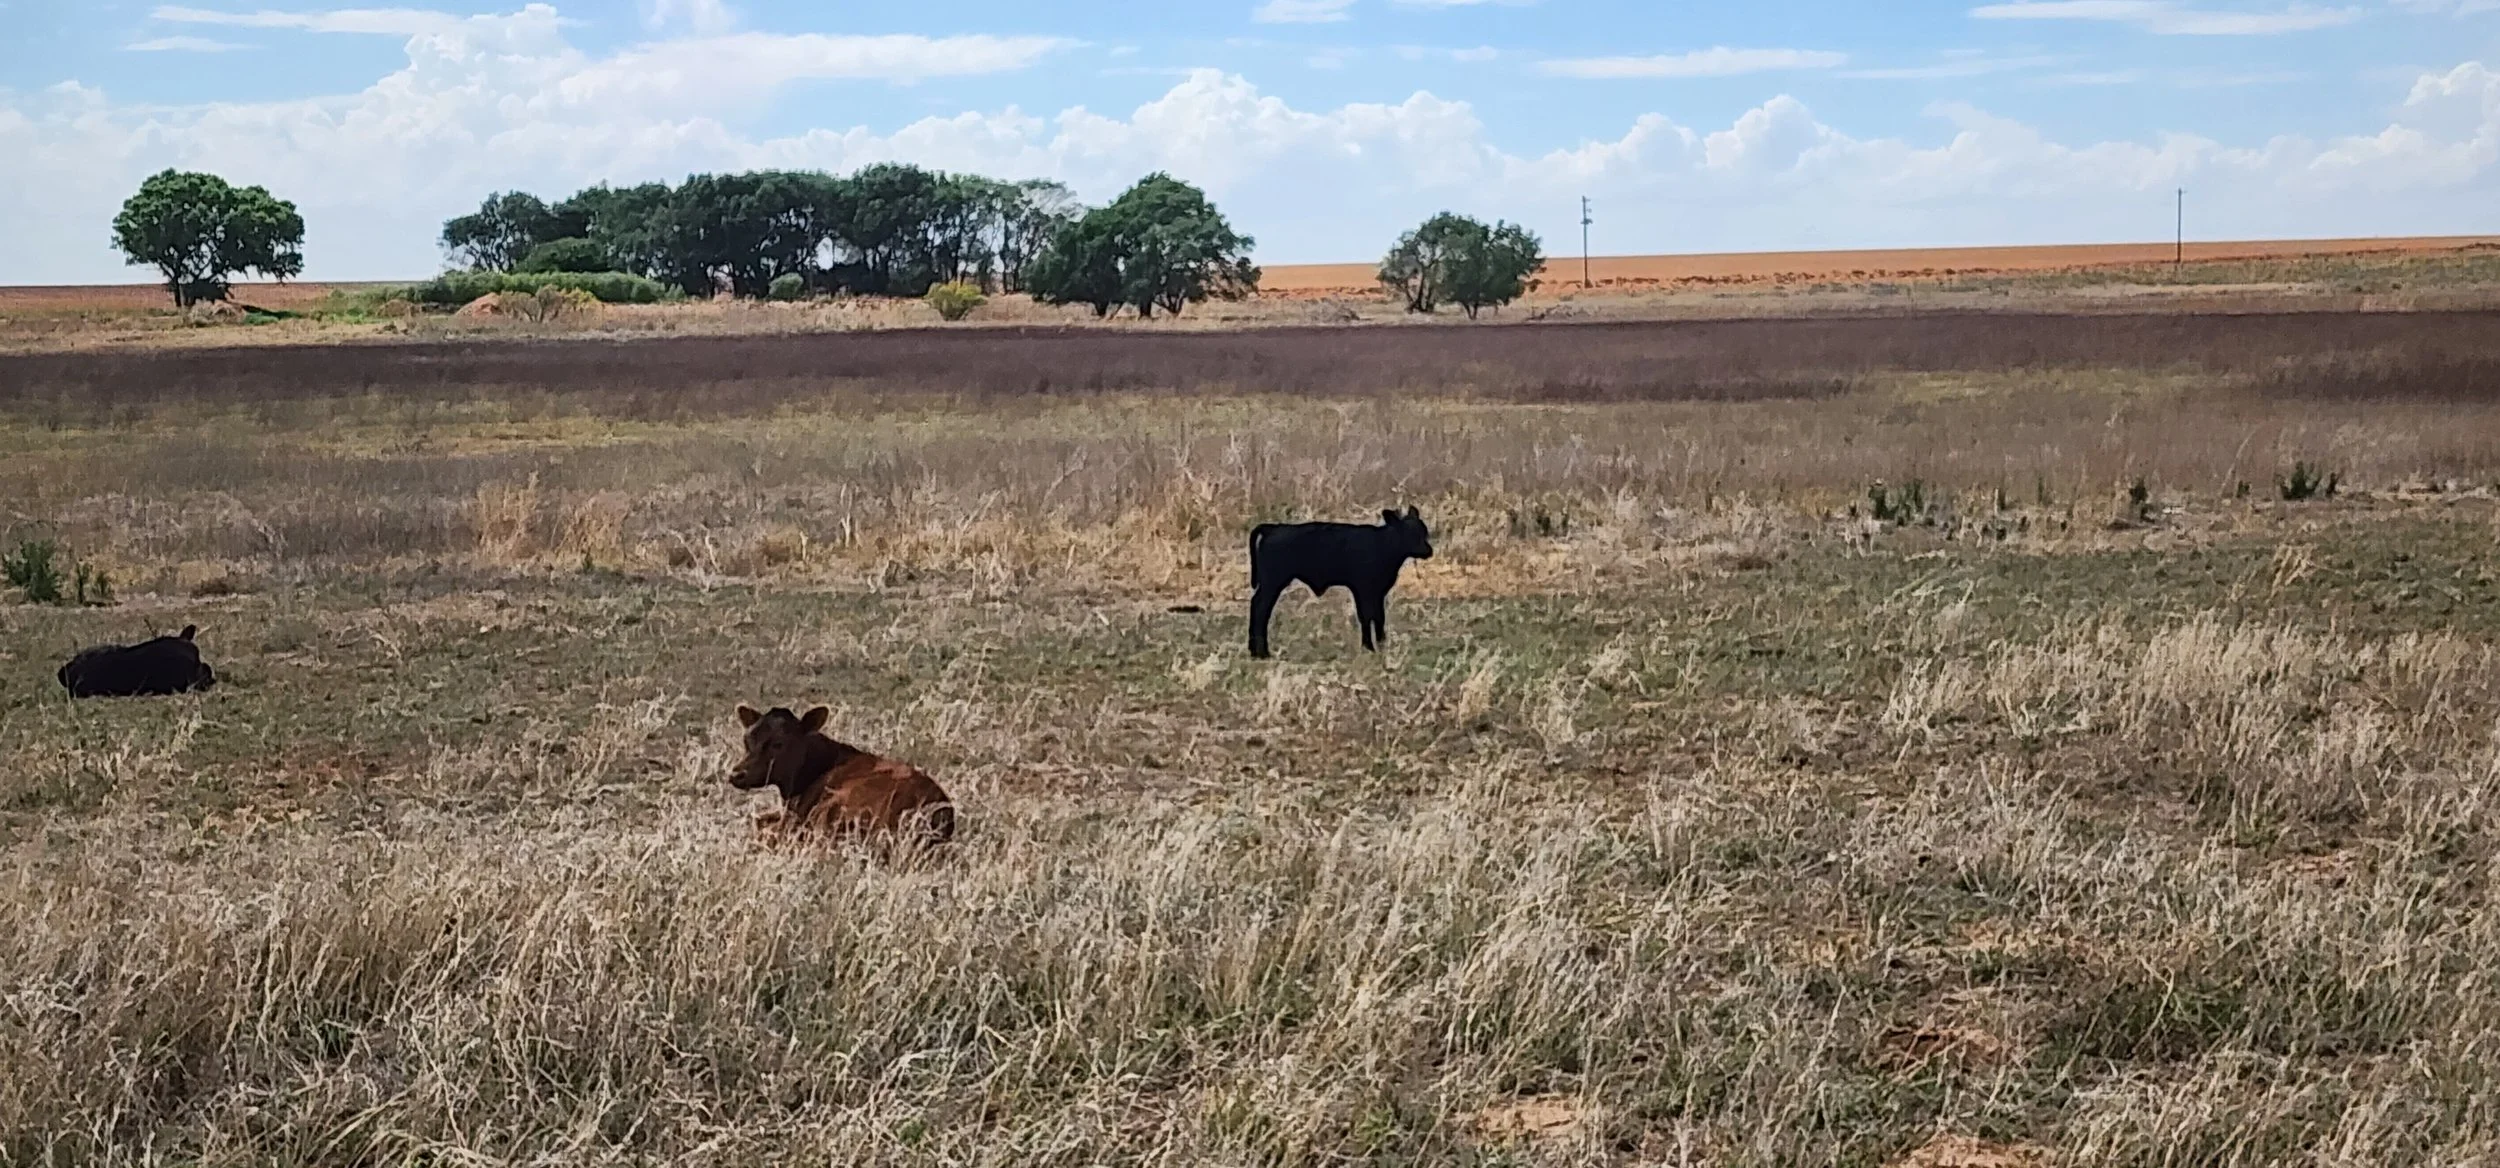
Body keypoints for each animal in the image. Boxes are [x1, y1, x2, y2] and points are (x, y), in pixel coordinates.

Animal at [1248, 506, 1435, 660]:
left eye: (1423, 531)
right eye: (1408, 533)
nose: (1428, 550)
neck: (1383, 546)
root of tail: (1274, 528)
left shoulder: (1377, 592)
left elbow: (1378, 617)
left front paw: (1381, 645)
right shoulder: (1363, 589)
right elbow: (1366, 616)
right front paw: (1369, 647)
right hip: (1272, 582)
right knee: (1260, 607)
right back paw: (1262, 653)